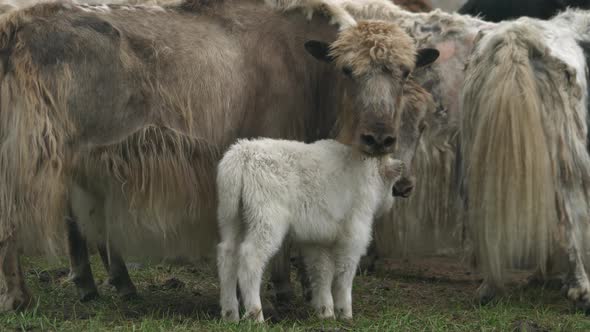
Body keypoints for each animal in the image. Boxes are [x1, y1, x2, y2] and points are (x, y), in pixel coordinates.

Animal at [217, 138, 408, 322]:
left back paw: (230, 314)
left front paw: (325, 312)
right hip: (266, 221)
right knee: (250, 257)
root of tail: (242, 153)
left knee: (228, 255)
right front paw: (345, 312)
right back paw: (255, 316)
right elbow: (344, 273)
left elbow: (321, 271)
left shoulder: (317, 240)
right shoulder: (354, 235)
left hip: (232, 220)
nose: (391, 202)